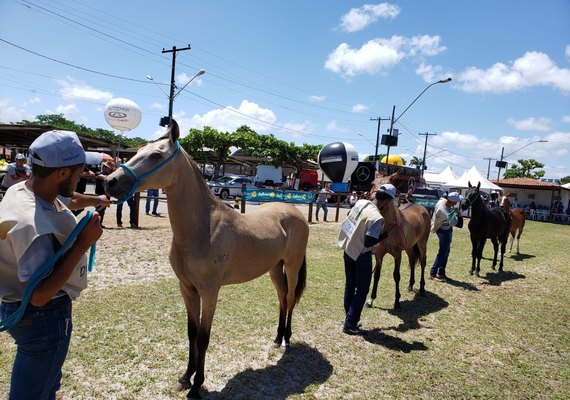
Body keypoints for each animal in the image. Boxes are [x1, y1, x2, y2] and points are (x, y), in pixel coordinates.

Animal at [102, 122, 306, 400]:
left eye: (155, 155)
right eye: (140, 149)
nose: (110, 182)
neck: (202, 228)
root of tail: (295, 212)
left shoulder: (210, 291)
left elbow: (203, 337)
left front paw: (197, 385)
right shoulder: (187, 288)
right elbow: (191, 333)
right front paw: (185, 377)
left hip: (293, 266)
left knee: (291, 297)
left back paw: (286, 339)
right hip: (275, 269)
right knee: (282, 298)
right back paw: (276, 338)